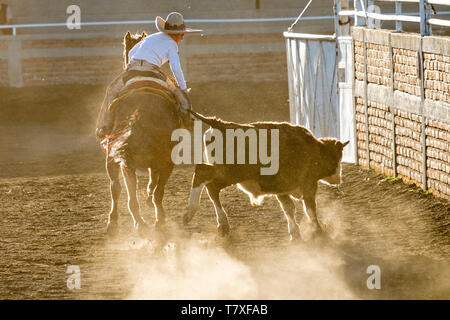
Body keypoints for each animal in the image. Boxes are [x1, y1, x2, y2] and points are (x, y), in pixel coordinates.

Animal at [100, 31, 179, 238]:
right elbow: (154, 182)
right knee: (150, 191)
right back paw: (155, 222)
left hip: (116, 158)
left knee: (117, 188)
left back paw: (122, 223)